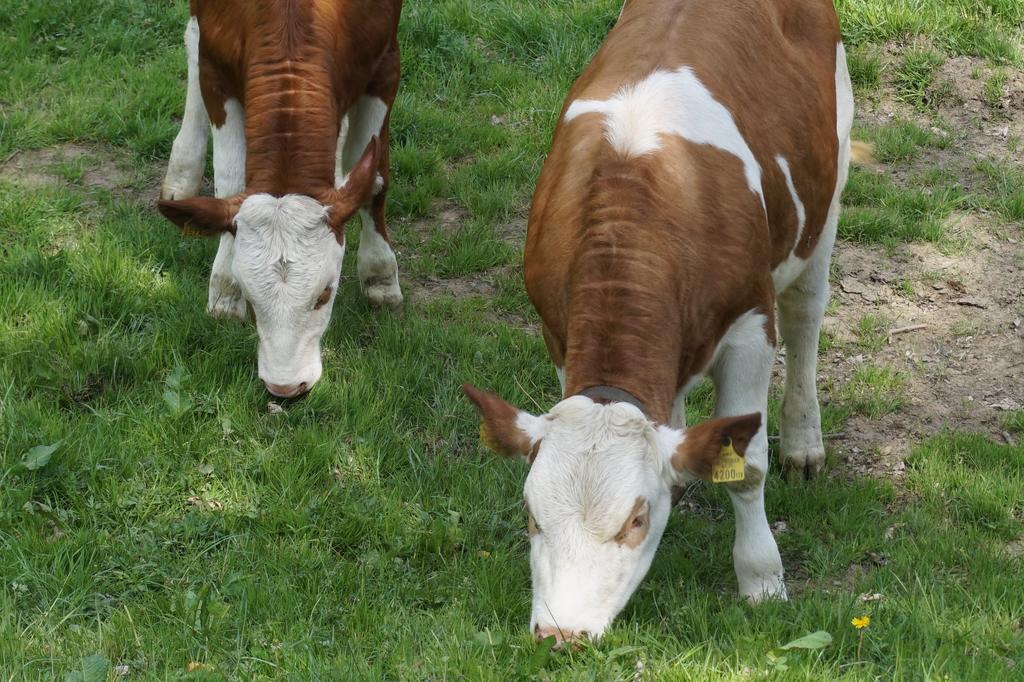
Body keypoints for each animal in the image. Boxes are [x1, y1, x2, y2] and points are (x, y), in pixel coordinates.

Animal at [157, 0, 401, 395]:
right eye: (250, 297)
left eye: (325, 294)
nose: (285, 388)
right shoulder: (216, 73)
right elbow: (230, 179)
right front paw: (224, 289)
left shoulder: (385, 62)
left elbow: (374, 178)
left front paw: (380, 275)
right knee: (192, 37)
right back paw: (182, 171)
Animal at [464, 0, 856, 643]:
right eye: (531, 515)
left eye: (635, 519)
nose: (562, 634)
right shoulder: (557, 330)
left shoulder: (750, 327)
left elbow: (746, 468)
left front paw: (761, 579)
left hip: (829, 187)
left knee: (806, 312)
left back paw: (804, 442)